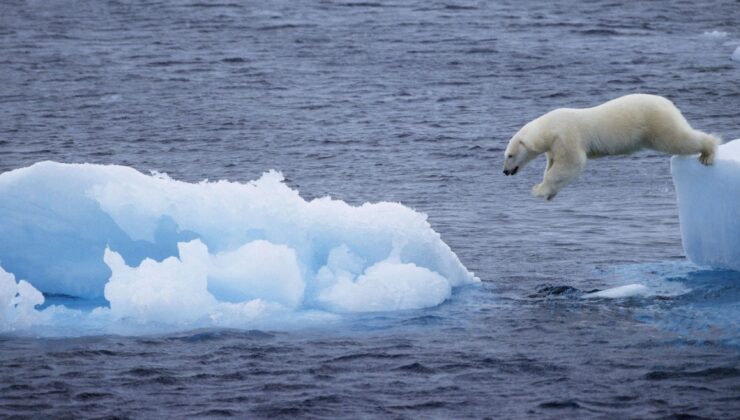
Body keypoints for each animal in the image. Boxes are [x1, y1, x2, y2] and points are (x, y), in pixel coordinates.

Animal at [502, 94, 716, 202]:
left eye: (510, 155)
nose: (505, 171)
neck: (549, 128)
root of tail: (669, 103)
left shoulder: (566, 136)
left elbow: (572, 163)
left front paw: (539, 189)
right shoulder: (554, 146)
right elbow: (554, 165)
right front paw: (549, 193)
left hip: (656, 124)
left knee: (678, 139)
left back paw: (708, 152)